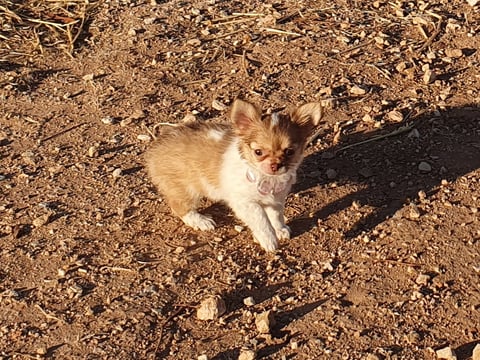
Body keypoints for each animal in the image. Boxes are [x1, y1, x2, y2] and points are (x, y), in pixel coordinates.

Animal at [146, 98, 322, 250]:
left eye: (290, 152)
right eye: (258, 152)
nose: (275, 165)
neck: (266, 179)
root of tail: (156, 147)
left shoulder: (277, 199)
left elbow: (276, 215)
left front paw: (280, 230)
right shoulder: (245, 203)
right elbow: (261, 220)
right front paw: (269, 240)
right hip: (187, 190)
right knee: (180, 208)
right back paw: (201, 221)